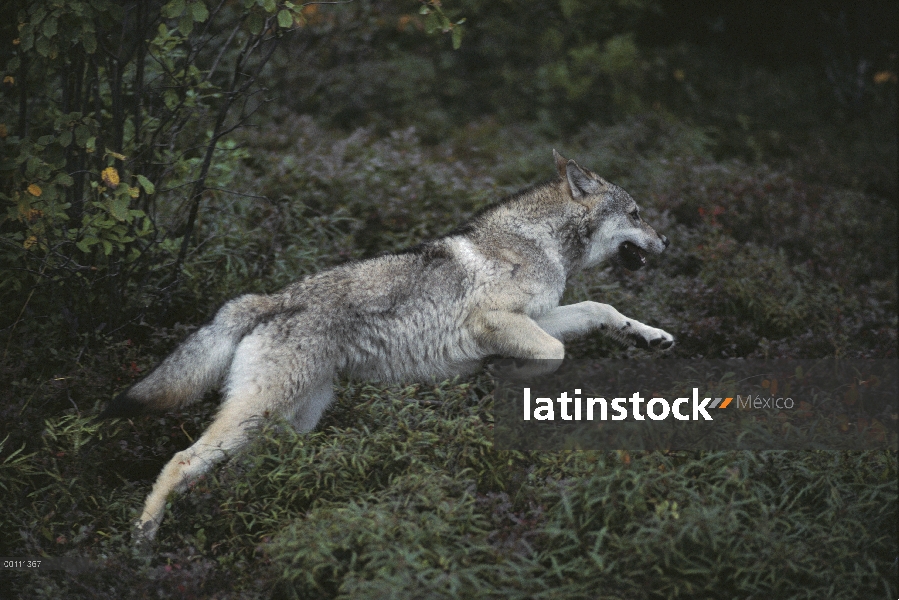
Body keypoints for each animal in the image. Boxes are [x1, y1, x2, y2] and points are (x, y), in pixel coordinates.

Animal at [102, 151, 672, 544]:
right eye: (638, 214)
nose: (667, 243)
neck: (542, 244)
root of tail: (267, 300)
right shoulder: (496, 320)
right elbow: (554, 355)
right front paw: (506, 380)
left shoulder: (540, 317)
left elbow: (600, 309)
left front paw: (649, 335)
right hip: (255, 417)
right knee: (180, 460)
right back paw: (143, 540)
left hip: (289, 423)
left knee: (238, 473)